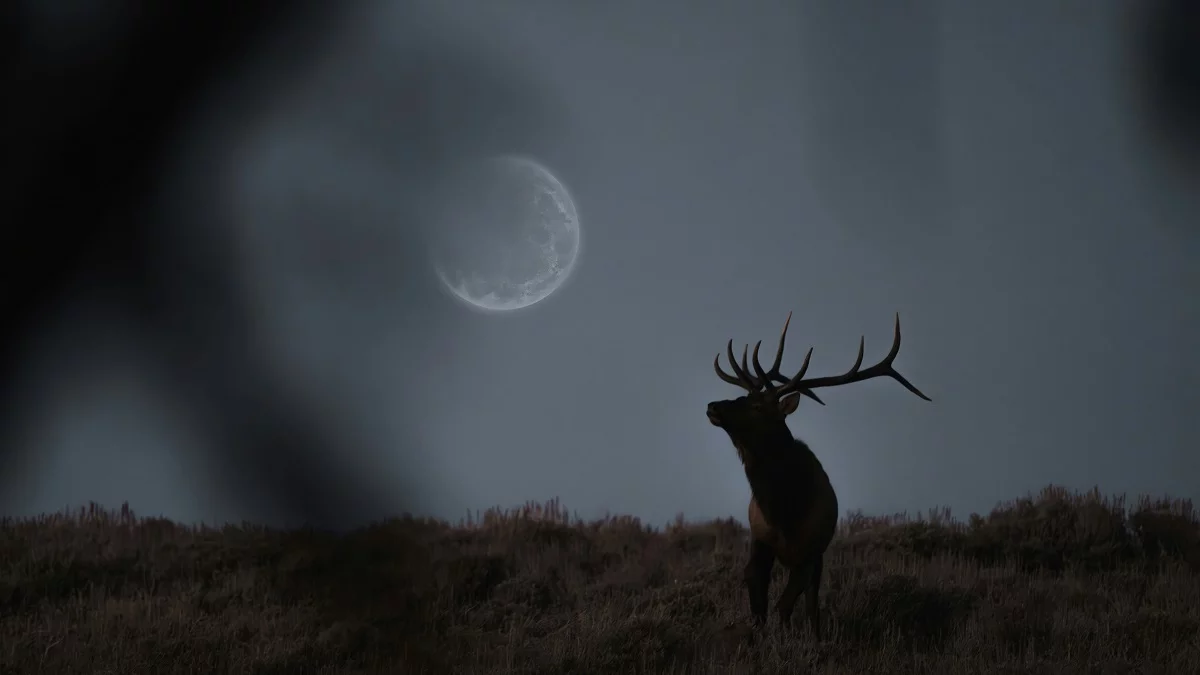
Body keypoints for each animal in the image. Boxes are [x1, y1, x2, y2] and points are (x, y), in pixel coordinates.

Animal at [706, 312, 931, 639]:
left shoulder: (810, 551)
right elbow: (759, 606)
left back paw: (815, 634)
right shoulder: (760, 543)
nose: (713, 406)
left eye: (758, 405)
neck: (784, 511)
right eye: (740, 396)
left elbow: (786, 606)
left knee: (811, 603)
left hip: (818, 556)